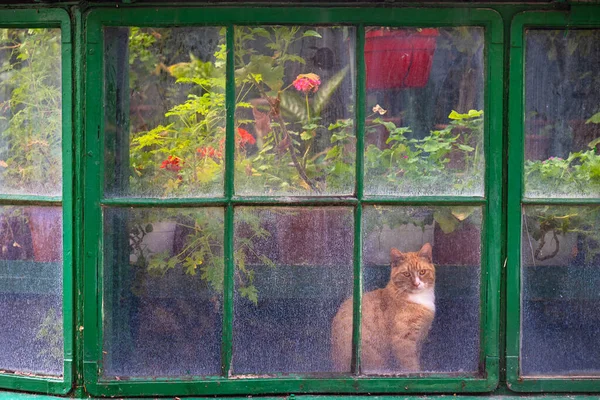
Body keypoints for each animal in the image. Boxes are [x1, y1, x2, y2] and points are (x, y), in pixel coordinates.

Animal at [330, 242, 434, 374]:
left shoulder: (419, 339)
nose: (416, 284)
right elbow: (410, 365)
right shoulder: (403, 341)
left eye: (422, 272)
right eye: (406, 274)